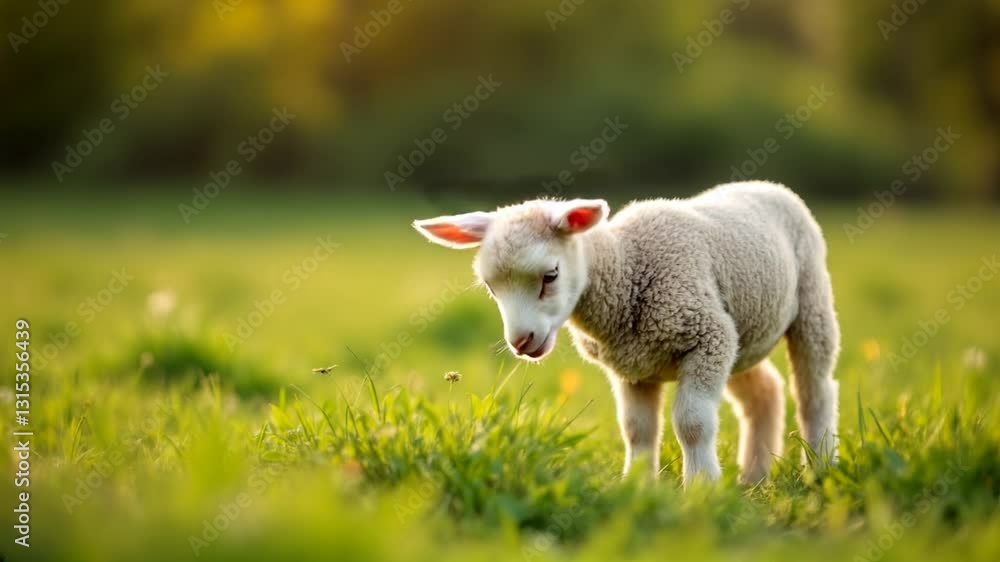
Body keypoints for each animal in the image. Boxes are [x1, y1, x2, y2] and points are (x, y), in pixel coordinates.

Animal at [412, 180, 839, 485]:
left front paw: (701, 488)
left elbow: (692, 423)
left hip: (810, 302)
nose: (521, 342)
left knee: (814, 390)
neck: (627, 265)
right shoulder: (634, 367)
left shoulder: (705, 337)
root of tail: (768, 185)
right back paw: (753, 477)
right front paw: (636, 488)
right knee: (765, 391)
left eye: (550, 275)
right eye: (490, 287)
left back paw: (819, 468)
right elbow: (637, 430)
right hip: (740, 334)